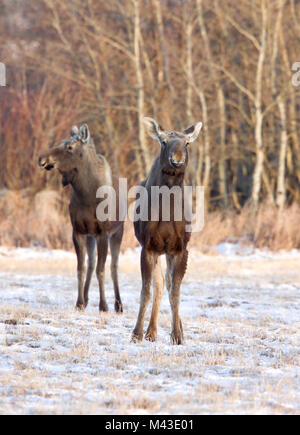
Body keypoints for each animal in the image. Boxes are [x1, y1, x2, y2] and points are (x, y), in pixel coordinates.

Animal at [38, 122, 124, 314]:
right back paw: (85, 300)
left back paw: (118, 304)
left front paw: (103, 306)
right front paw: (78, 303)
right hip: (90, 235)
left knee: (114, 266)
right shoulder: (78, 231)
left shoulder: (103, 233)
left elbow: (102, 270)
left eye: (69, 147)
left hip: (118, 232)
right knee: (91, 264)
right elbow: (81, 268)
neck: (86, 194)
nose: (42, 158)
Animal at [132, 117, 203, 346]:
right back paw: (151, 332)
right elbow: (147, 291)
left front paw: (178, 335)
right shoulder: (148, 247)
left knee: (169, 284)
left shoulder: (181, 248)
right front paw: (136, 333)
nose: (177, 159)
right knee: (160, 284)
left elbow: (176, 292)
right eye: (163, 142)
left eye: (187, 143)